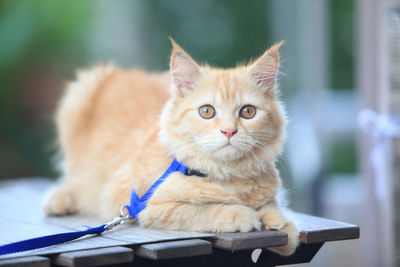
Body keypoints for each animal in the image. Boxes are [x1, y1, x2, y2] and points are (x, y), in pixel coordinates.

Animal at [44, 39, 300, 255]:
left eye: (247, 112)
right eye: (206, 111)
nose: (229, 131)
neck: (228, 177)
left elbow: (279, 216)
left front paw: (279, 222)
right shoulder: (150, 206)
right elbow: (206, 210)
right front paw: (242, 214)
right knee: (71, 180)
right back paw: (60, 200)